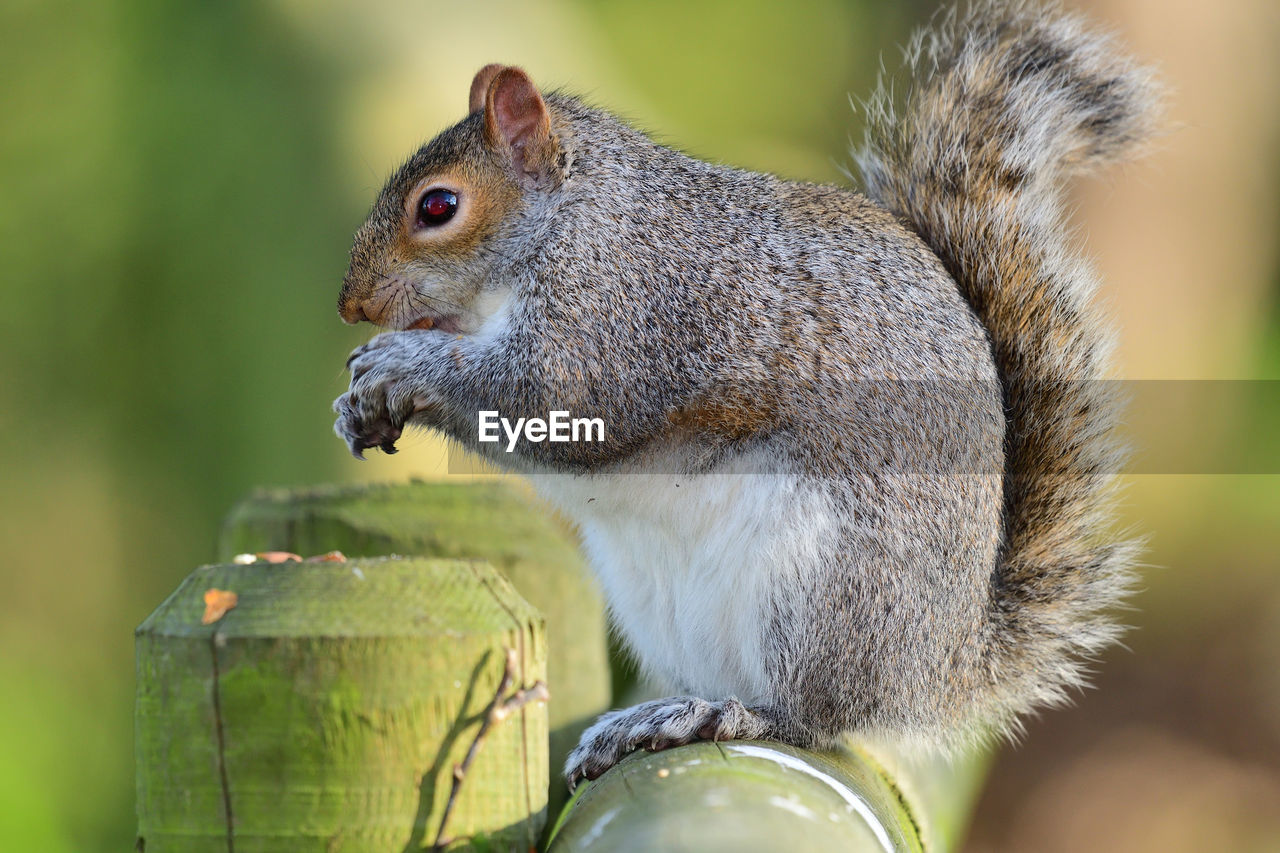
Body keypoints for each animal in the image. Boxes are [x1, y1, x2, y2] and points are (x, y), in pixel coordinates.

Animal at [330, 0, 1162, 783]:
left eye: (438, 206)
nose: (352, 306)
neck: (570, 217)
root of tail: (937, 670)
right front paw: (358, 399)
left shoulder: (626, 307)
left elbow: (555, 396)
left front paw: (402, 363)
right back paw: (651, 717)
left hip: (815, 590)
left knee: (814, 719)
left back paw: (727, 716)